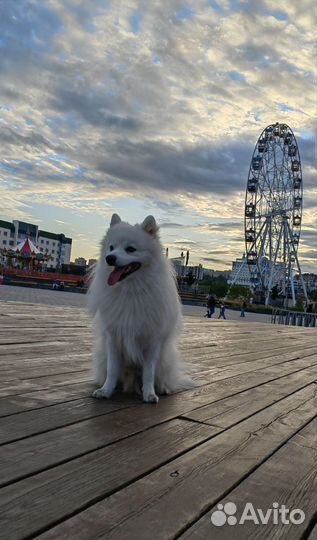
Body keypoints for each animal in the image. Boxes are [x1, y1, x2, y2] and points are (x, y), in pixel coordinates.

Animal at [87, 213, 194, 402]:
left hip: (165, 361)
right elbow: (112, 370)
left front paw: (149, 394)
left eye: (130, 249)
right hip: (102, 356)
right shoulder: (113, 339)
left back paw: (163, 388)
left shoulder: (152, 342)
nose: (110, 258)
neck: (131, 290)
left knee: (161, 377)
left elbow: (148, 373)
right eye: (111, 247)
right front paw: (106, 390)